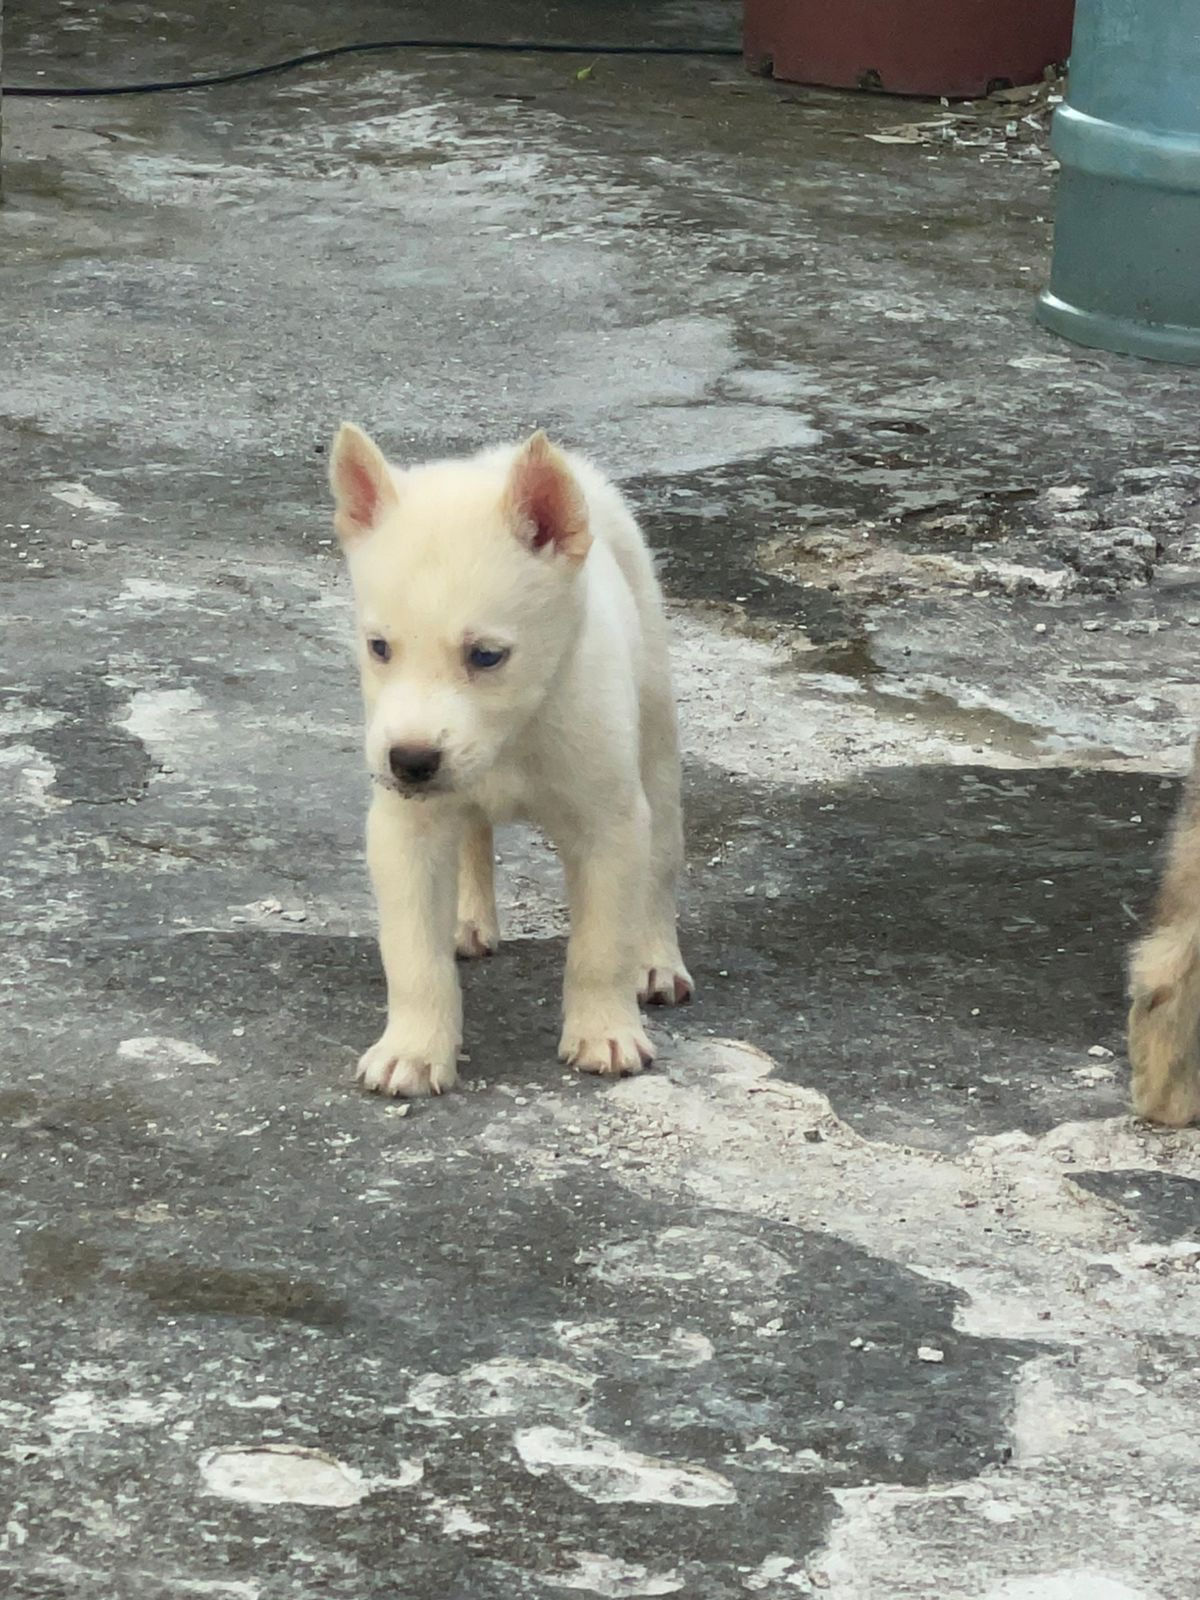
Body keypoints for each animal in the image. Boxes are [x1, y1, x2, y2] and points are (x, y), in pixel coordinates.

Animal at [331, 425, 694, 1100]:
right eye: (379, 647)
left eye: (487, 656)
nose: (409, 761)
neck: (516, 735)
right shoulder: (405, 829)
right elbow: (412, 956)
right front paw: (413, 1049)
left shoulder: (608, 823)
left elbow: (602, 943)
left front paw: (605, 1032)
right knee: (474, 834)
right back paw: (468, 921)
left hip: (657, 737)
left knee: (661, 862)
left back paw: (657, 959)